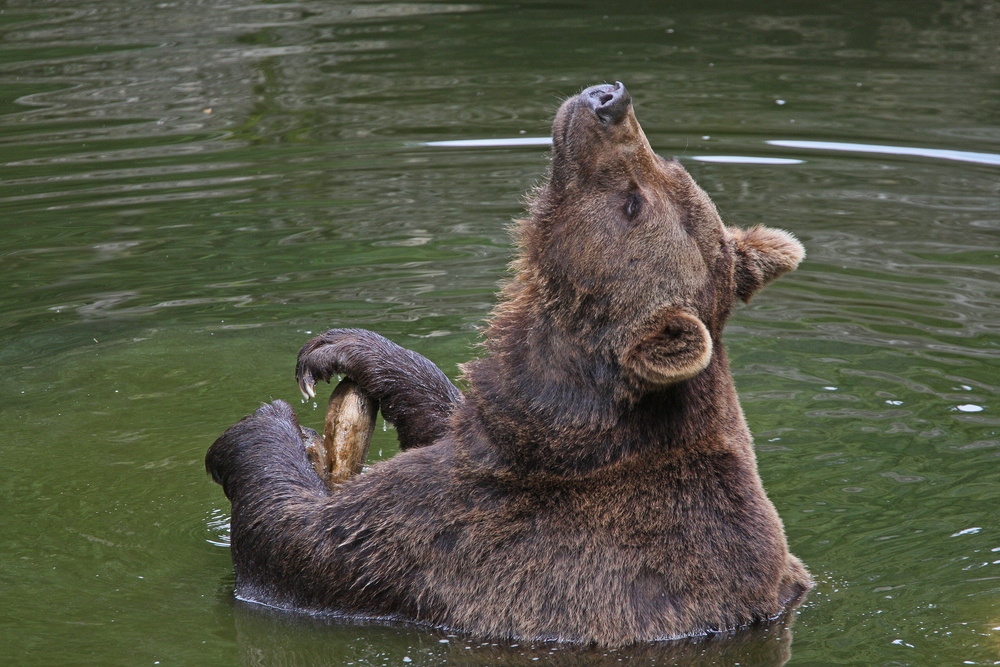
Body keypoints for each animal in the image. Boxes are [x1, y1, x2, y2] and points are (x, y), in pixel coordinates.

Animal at [207, 79, 808, 648]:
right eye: (671, 166)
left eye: (634, 202)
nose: (610, 99)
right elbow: (444, 416)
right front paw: (348, 349)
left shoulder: (470, 529)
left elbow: (299, 538)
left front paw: (265, 428)